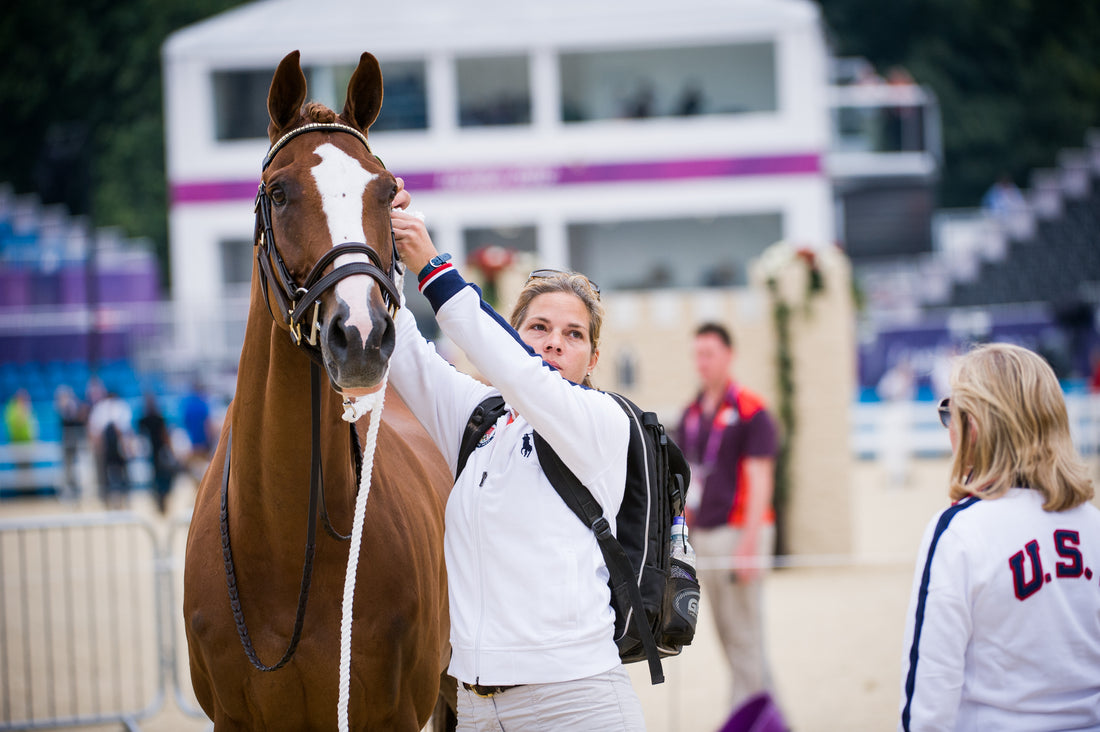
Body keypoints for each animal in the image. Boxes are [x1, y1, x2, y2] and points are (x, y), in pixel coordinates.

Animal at [184, 51, 451, 730]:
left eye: (386, 191)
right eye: (279, 193)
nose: (360, 334)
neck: (284, 548)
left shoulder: (392, 714)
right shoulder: (233, 719)